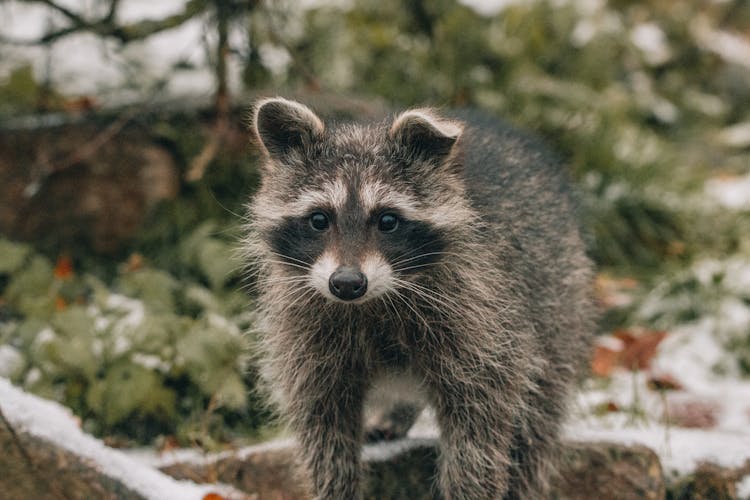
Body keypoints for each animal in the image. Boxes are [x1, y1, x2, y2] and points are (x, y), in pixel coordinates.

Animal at [244, 97, 596, 500]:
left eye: (387, 221)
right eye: (319, 219)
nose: (347, 283)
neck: (371, 303)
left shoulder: (483, 316)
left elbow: (479, 430)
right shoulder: (307, 337)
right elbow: (324, 430)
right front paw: (334, 488)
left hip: (558, 299)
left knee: (538, 421)